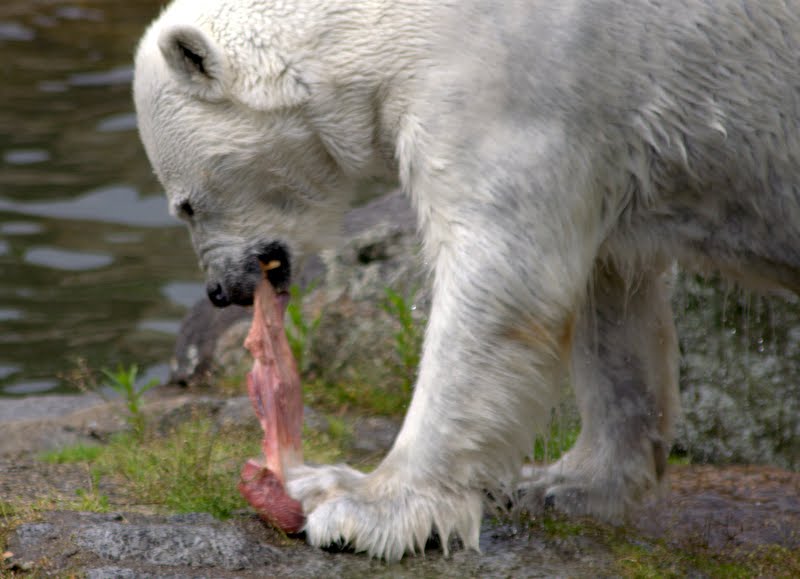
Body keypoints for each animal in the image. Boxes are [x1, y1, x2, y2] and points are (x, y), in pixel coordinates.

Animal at [134, 0, 800, 560]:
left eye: (184, 204)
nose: (223, 290)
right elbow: (607, 290)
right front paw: (560, 483)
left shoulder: (512, 79)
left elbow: (503, 273)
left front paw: (361, 505)